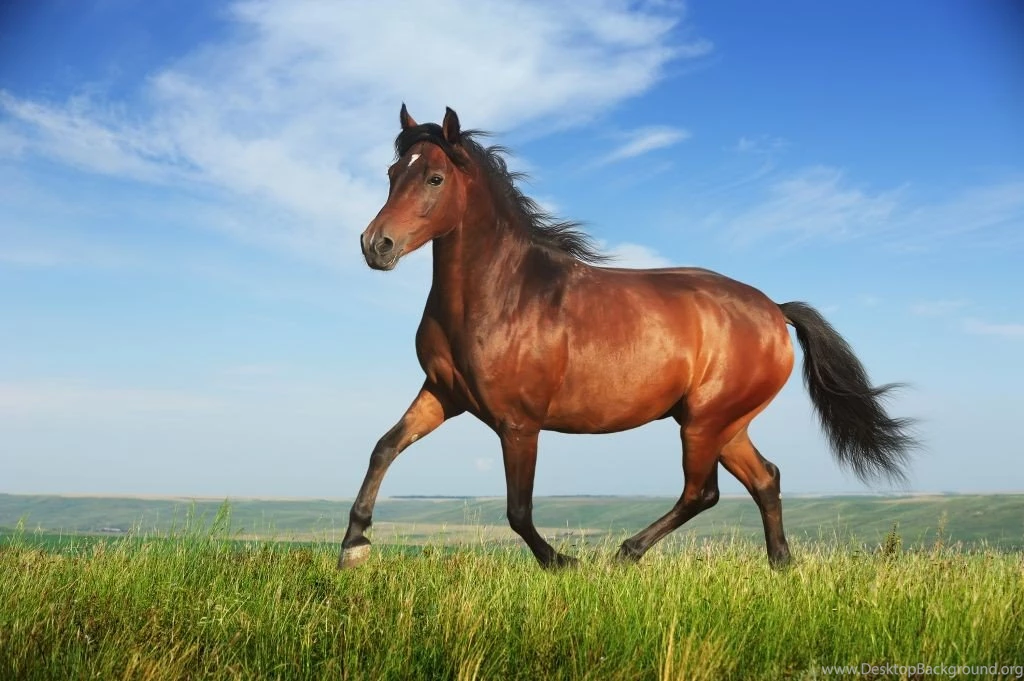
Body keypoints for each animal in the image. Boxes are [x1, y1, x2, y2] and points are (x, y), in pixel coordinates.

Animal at [339, 104, 918, 570]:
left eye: (435, 178)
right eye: (392, 172)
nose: (375, 245)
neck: (502, 294)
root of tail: (775, 311)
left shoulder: (519, 423)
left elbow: (518, 509)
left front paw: (563, 563)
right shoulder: (443, 394)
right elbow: (383, 448)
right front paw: (353, 547)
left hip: (705, 422)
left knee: (702, 492)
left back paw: (626, 554)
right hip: (725, 424)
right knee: (764, 479)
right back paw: (780, 566)